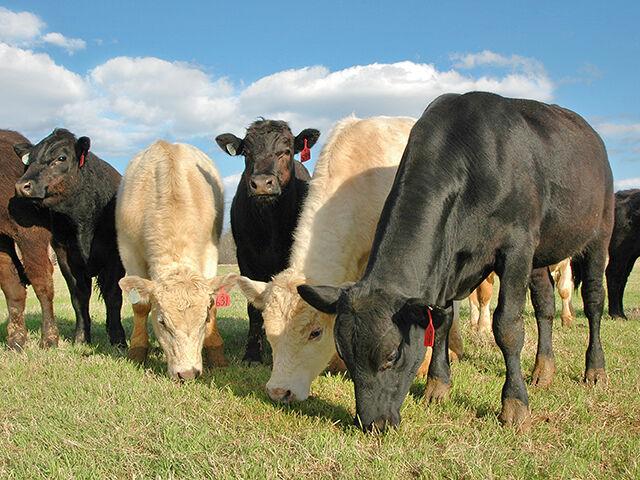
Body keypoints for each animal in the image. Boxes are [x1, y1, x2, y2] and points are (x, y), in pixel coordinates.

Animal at [14, 128, 127, 347]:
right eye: (29, 160)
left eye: (61, 158)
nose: (22, 185)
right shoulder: (65, 255)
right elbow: (79, 297)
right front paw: (81, 338)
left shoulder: (114, 257)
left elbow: (113, 295)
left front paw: (119, 340)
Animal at [117, 140, 235, 380]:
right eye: (162, 322)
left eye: (204, 320)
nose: (187, 373)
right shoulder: (129, 253)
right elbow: (140, 306)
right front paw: (137, 351)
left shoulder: (210, 251)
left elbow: (214, 303)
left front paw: (216, 352)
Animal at [215, 119, 319, 363]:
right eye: (246, 153)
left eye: (286, 150)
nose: (262, 183)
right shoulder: (245, 256)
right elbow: (253, 308)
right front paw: (253, 353)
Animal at [297, 92, 614, 432]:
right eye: (344, 355)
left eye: (392, 355)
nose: (373, 423)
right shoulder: (450, 261)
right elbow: (441, 318)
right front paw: (438, 386)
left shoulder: (516, 246)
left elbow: (508, 326)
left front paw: (514, 404)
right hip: (540, 254)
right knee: (545, 306)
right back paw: (543, 370)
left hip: (599, 233)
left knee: (594, 301)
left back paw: (595, 369)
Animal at [605, 189, 640, 319]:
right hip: (620, 250)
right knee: (613, 274)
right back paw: (616, 314)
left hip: (631, 254)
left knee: (623, 277)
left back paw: (621, 313)